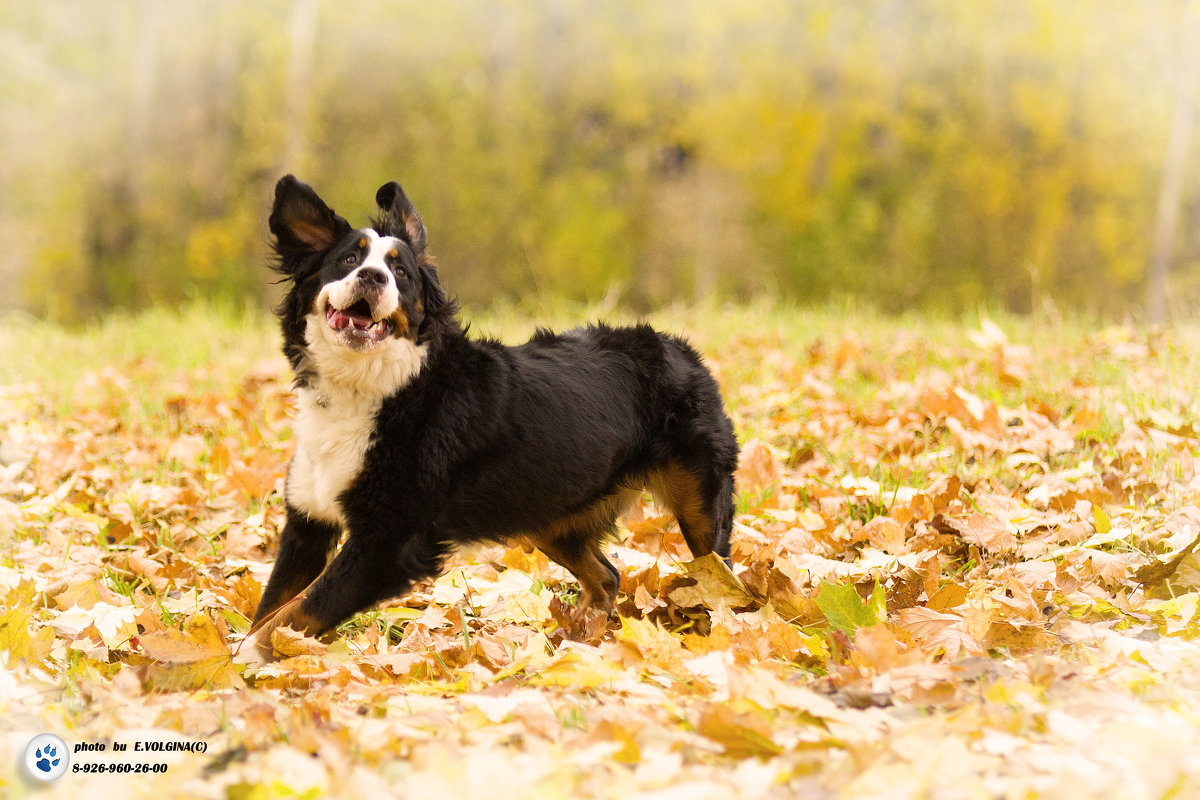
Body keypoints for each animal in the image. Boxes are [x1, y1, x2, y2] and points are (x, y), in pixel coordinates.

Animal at [238, 175, 734, 662]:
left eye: (401, 273)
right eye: (348, 259)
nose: (372, 277)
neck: (375, 388)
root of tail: (678, 346)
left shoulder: (388, 540)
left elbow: (293, 614)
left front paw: (238, 664)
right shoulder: (308, 521)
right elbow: (272, 607)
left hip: (699, 504)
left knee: (722, 581)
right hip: (549, 513)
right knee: (607, 576)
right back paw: (579, 638)